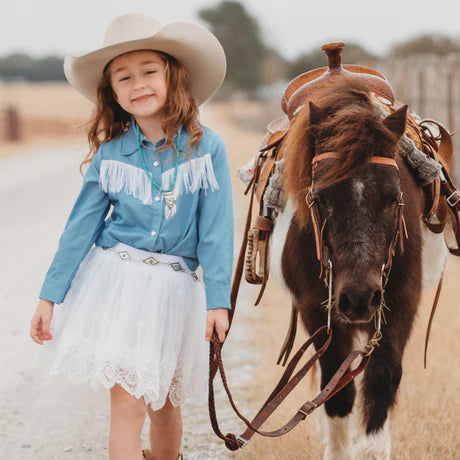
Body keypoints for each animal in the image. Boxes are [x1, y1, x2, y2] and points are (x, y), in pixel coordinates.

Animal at [270, 84, 446, 458]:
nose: (359, 298)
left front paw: (374, 448)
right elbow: (335, 385)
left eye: (393, 197)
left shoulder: (400, 301)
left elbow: (382, 376)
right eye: (321, 197)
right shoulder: (316, 309)